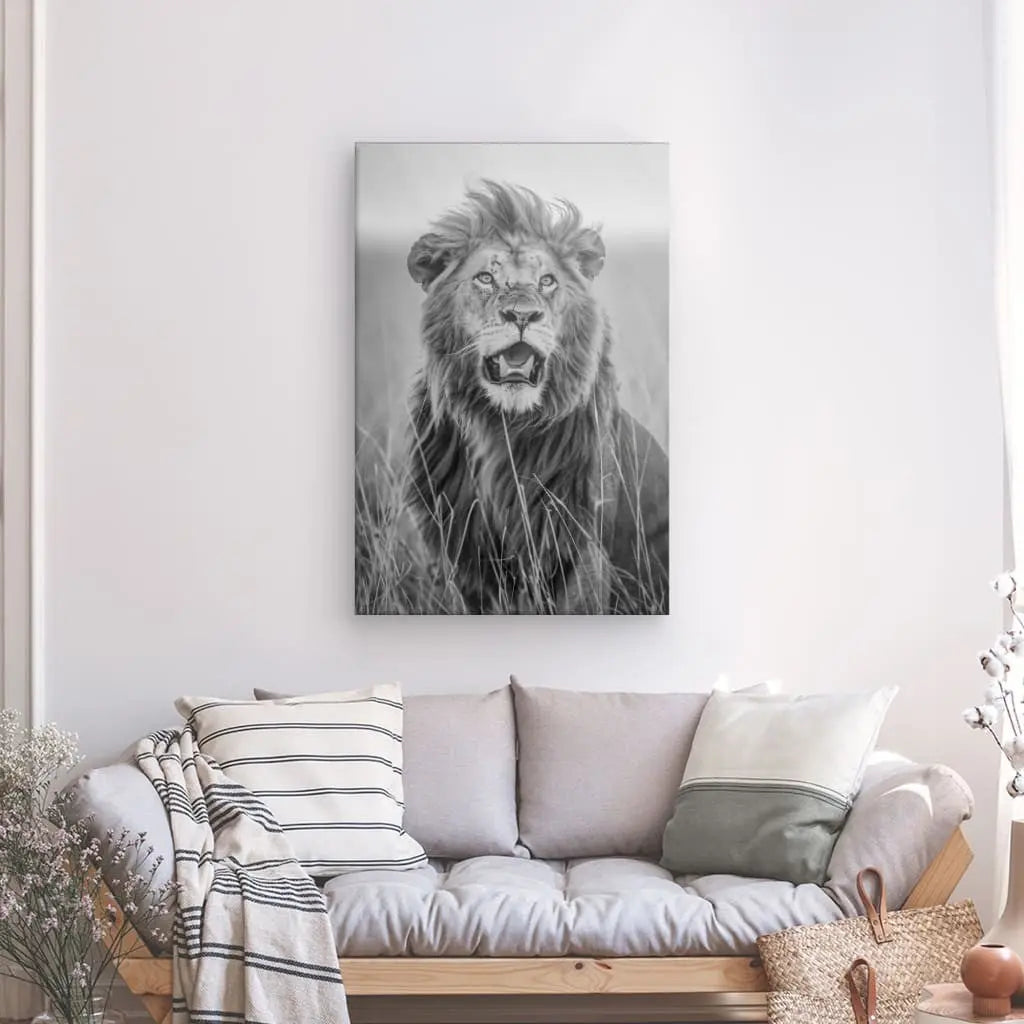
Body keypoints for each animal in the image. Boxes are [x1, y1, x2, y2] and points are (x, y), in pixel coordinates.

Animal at [405, 181, 668, 614]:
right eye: (485, 278)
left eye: (546, 281)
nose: (522, 315)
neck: (503, 427)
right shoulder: (466, 555)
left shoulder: (579, 547)